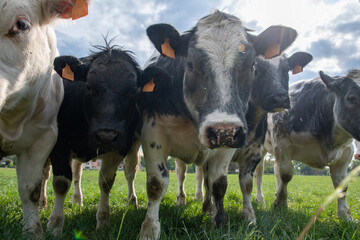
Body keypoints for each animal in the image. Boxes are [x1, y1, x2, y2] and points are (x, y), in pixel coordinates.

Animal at [46, 43, 170, 236]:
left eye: (132, 92)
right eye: (88, 87)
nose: (106, 135)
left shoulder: (118, 149)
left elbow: (105, 183)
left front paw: (103, 220)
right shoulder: (59, 145)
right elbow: (60, 183)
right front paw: (55, 224)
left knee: (127, 172)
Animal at [138, 9, 298, 240]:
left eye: (252, 66)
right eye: (190, 64)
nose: (223, 131)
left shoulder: (230, 143)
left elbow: (219, 184)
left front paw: (220, 222)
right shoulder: (153, 134)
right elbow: (156, 184)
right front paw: (150, 229)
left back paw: (208, 208)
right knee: (181, 174)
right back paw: (183, 200)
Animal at [174, 51, 312, 224]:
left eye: (286, 68)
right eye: (255, 68)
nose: (279, 98)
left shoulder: (253, 153)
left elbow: (247, 184)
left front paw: (249, 216)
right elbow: (212, 182)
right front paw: (212, 210)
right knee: (183, 174)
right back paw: (184, 199)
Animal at [256, 68, 360, 220]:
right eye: (352, 98)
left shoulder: (346, 153)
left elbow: (341, 185)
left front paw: (345, 215)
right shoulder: (282, 144)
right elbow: (285, 174)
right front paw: (280, 204)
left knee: (275, 171)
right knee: (260, 174)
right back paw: (260, 199)